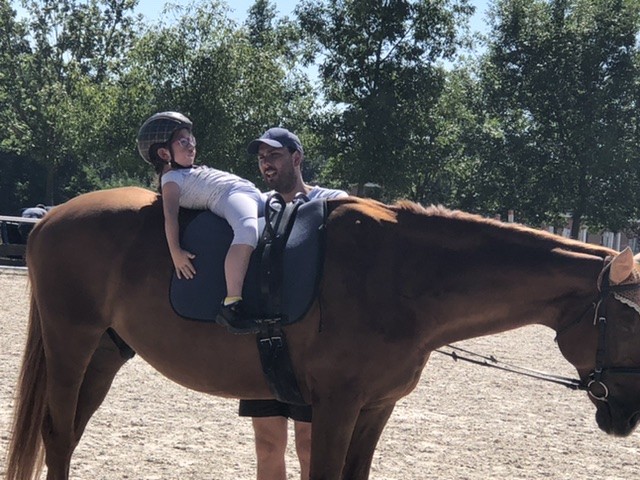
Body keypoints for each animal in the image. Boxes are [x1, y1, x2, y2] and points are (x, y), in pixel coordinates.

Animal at [6, 186, 640, 480]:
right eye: (632, 318)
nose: (625, 415)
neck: (404, 276)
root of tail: (50, 218)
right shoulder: (336, 406)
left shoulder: (375, 408)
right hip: (71, 343)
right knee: (57, 433)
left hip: (106, 352)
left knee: (68, 433)